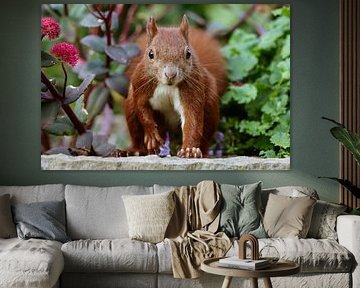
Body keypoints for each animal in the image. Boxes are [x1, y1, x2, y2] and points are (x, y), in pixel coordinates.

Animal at [124, 15, 225, 158]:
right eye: (150, 54)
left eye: (188, 53)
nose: (170, 74)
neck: (167, 86)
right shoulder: (140, 84)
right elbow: (141, 109)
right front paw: (152, 135)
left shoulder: (193, 90)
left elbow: (192, 120)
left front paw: (189, 150)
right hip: (130, 107)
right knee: (136, 132)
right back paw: (133, 151)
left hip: (210, 105)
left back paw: (204, 152)